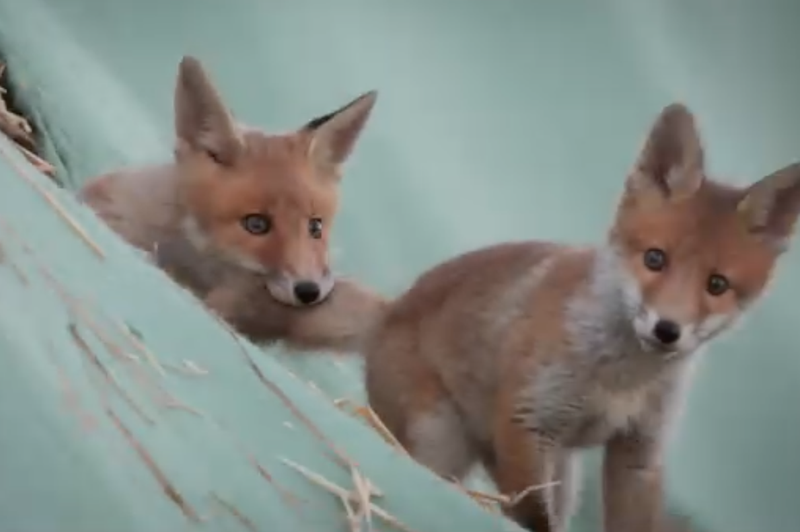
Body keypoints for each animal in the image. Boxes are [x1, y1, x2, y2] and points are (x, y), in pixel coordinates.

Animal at [360, 104, 800, 532]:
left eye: (717, 284)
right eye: (655, 259)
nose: (666, 330)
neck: (623, 380)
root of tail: (389, 310)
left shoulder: (639, 452)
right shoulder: (526, 419)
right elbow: (535, 520)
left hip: (562, 476)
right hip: (439, 440)